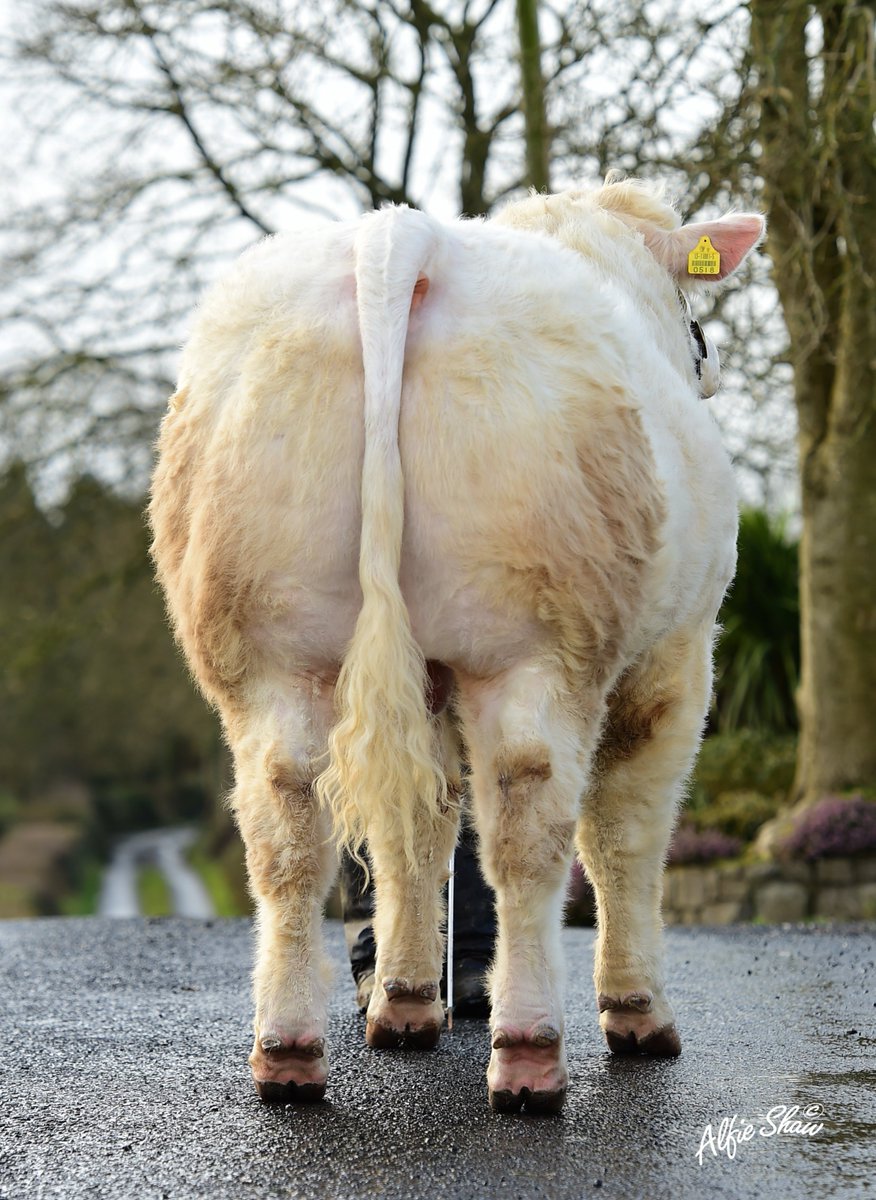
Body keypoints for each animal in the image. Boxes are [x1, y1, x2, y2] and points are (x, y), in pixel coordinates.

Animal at [149, 175, 764, 1113]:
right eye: (690, 310)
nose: (707, 362)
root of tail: (402, 235)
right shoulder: (677, 658)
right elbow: (625, 833)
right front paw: (638, 1012)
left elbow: (420, 827)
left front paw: (405, 999)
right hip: (532, 644)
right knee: (528, 830)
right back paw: (528, 1051)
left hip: (265, 653)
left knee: (290, 831)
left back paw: (293, 1049)